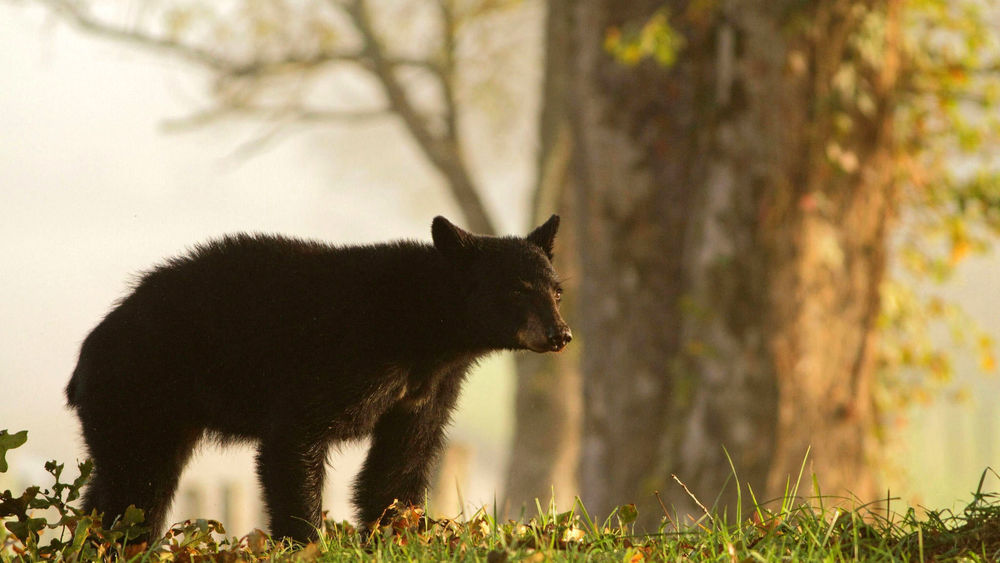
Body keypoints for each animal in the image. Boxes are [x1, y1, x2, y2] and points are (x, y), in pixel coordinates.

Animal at [65, 215, 571, 544]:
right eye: (516, 289)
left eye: (557, 290)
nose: (560, 334)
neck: (423, 327)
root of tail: (82, 363)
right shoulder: (343, 360)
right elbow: (296, 439)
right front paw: (306, 541)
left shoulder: (429, 386)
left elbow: (403, 458)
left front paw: (400, 535)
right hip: (139, 393)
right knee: (136, 490)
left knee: (114, 490)